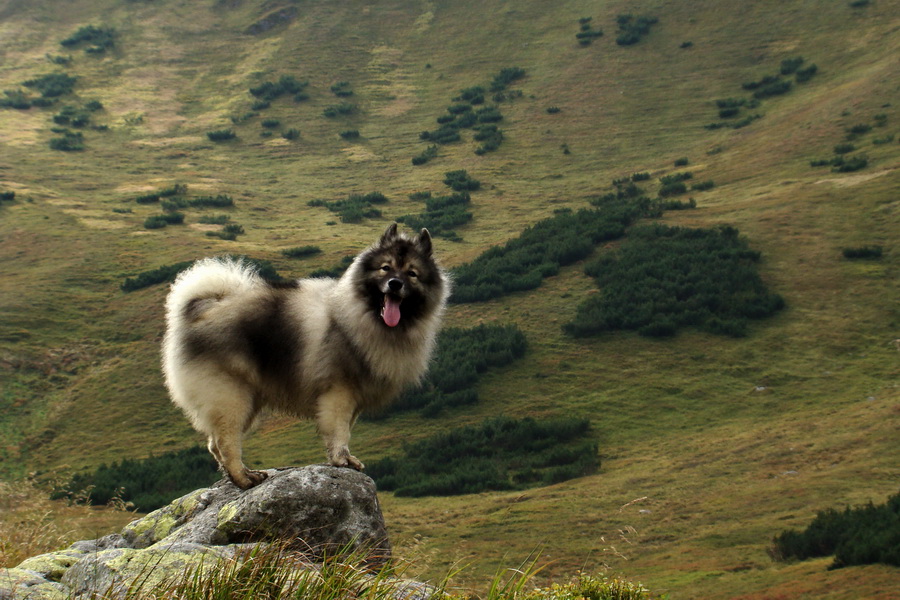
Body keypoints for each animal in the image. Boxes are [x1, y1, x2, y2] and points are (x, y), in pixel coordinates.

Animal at [163, 224, 450, 488]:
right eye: (385, 268)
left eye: (412, 273)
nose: (395, 283)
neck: (361, 318)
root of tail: (206, 308)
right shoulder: (338, 394)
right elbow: (339, 431)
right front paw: (342, 460)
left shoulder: (353, 400)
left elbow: (343, 431)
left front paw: (341, 459)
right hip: (232, 398)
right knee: (226, 442)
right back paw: (244, 478)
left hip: (246, 401)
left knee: (215, 444)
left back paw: (237, 477)